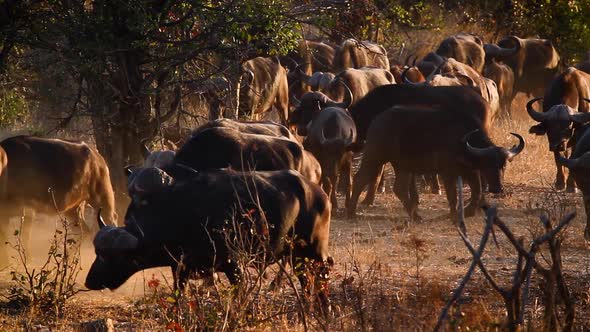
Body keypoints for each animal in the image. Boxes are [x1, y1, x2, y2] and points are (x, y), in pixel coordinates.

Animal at [86, 169, 336, 308]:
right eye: (97, 253)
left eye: (110, 257)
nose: (89, 282)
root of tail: (318, 192)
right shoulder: (181, 267)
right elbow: (179, 292)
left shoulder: (234, 266)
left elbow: (238, 294)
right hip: (297, 256)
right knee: (306, 279)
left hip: (314, 250)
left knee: (322, 274)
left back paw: (326, 307)